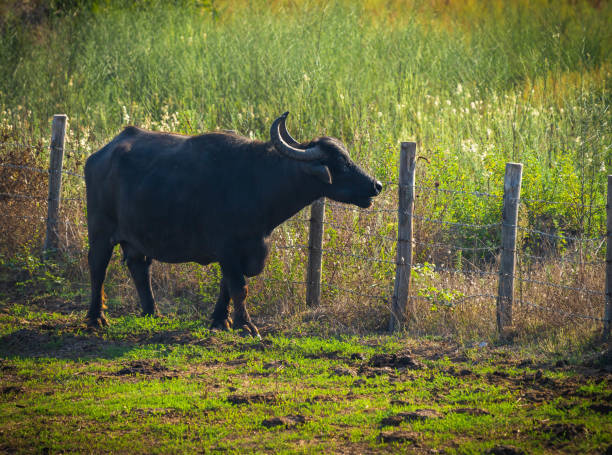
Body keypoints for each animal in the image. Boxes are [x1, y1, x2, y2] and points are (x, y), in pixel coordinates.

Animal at [85, 112, 382, 336]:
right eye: (340, 162)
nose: (376, 185)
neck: (258, 181)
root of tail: (101, 154)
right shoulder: (227, 248)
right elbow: (239, 287)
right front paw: (246, 325)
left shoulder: (245, 250)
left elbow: (226, 286)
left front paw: (220, 320)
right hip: (100, 231)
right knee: (98, 269)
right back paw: (96, 318)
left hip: (136, 239)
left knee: (140, 269)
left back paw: (152, 313)